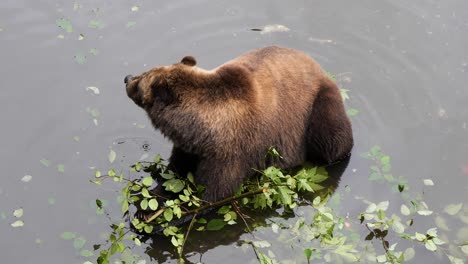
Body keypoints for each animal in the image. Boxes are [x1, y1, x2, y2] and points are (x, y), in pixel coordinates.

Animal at [126, 46, 352, 202]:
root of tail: (318, 65)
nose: (127, 77)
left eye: (142, 77)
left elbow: (212, 192)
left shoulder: (233, 151)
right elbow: (176, 171)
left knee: (333, 141)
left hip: (318, 108)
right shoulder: (192, 146)